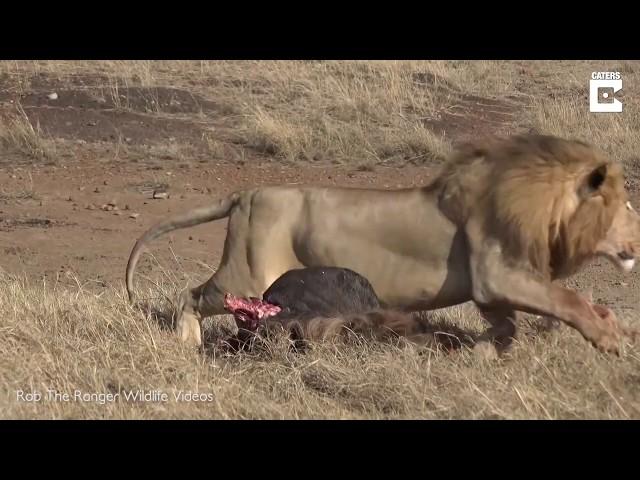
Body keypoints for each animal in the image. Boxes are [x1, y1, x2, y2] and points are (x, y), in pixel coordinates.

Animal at [125, 133, 640, 354]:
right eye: (628, 206)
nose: (637, 240)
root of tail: (247, 193)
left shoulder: (491, 291)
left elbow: (507, 327)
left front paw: (481, 354)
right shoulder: (498, 274)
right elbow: (566, 299)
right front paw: (611, 337)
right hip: (247, 275)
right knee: (190, 295)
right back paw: (186, 342)